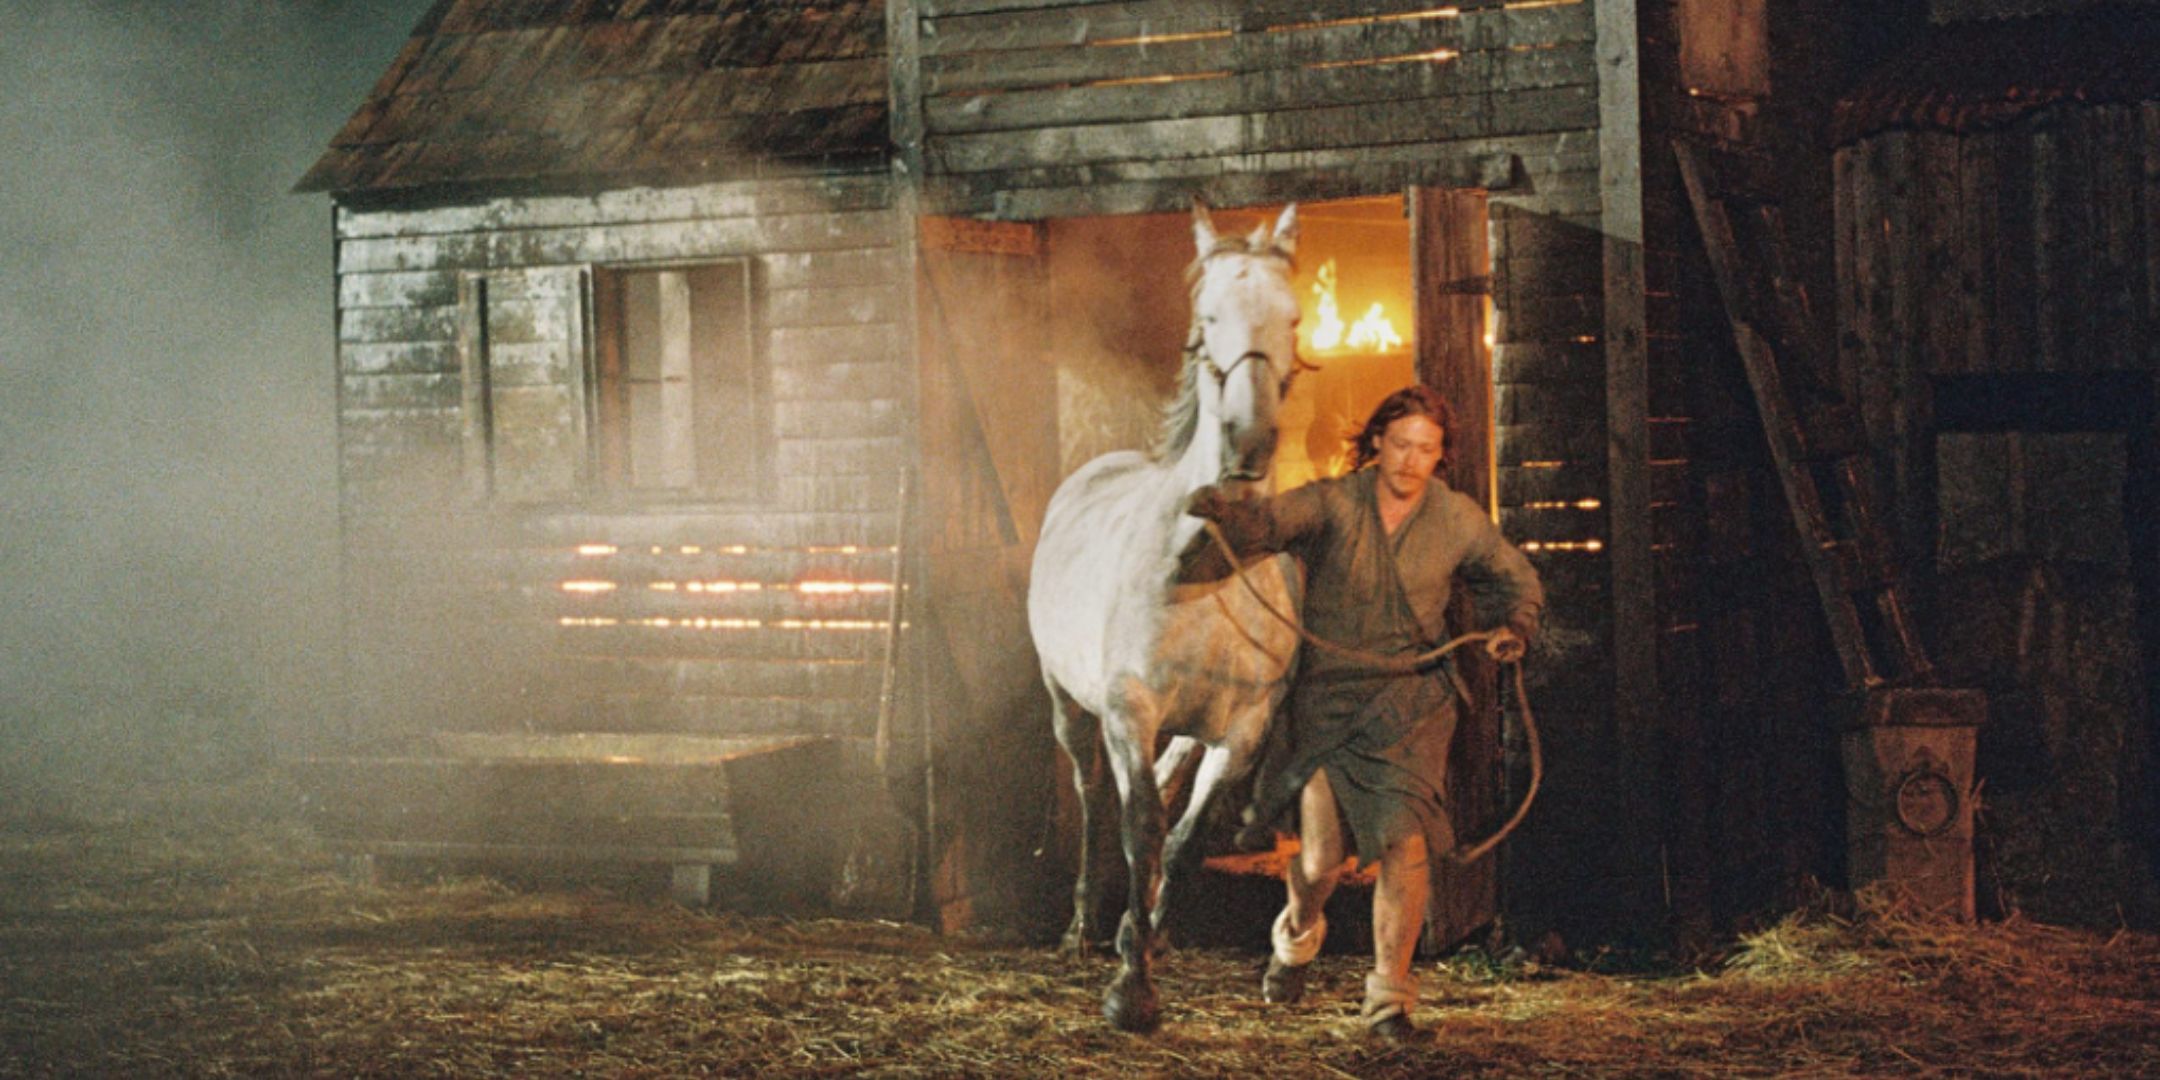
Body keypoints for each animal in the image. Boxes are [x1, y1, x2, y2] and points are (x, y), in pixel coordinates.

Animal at [1032, 198, 1313, 1032]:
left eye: (1291, 317)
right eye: (1208, 315)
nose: (1250, 440)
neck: (1203, 566)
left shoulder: (1243, 728)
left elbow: (1183, 840)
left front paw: (1150, 940)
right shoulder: (1130, 710)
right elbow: (1142, 828)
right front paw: (1130, 990)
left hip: (1190, 728)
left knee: (1162, 784)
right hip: (1070, 707)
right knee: (1098, 803)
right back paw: (1084, 929)